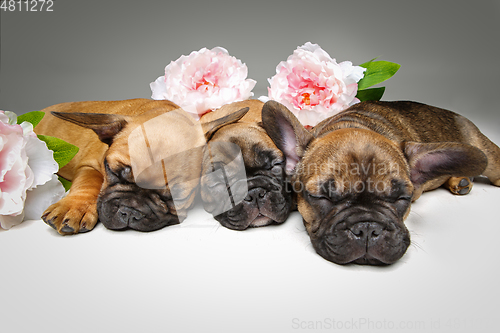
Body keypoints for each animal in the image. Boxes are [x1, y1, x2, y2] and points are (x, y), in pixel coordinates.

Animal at [34, 98, 247, 233]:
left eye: (176, 197)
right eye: (113, 172)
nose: (130, 211)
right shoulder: (90, 165)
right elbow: (89, 180)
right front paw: (74, 206)